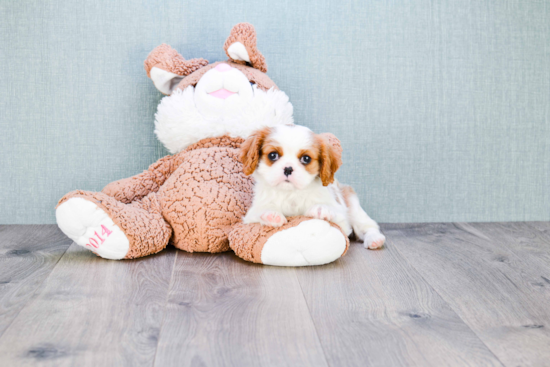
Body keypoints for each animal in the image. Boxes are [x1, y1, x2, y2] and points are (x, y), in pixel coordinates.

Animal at [242, 126, 388, 250]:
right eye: (273, 155)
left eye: (306, 158)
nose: (288, 168)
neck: (291, 193)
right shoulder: (249, 217)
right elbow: (259, 212)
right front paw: (271, 214)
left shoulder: (343, 222)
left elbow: (336, 216)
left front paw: (321, 209)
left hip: (353, 206)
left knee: (368, 226)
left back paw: (375, 239)